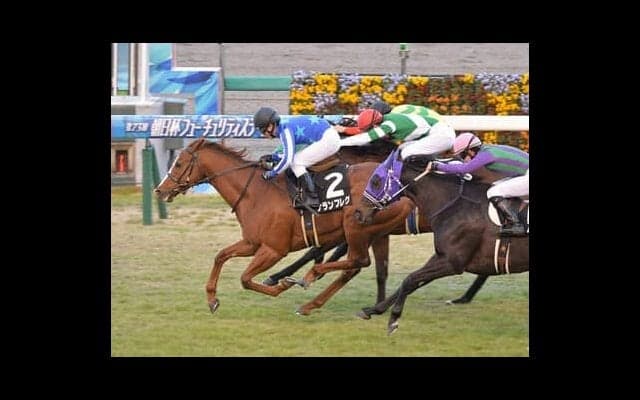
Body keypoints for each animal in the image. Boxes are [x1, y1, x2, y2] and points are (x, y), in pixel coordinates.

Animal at [154, 138, 413, 314]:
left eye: (179, 164)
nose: (159, 190)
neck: (255, 193)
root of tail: (403, 191)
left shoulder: (274, 250)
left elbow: (245, 279)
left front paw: (281, 285)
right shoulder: (251, 243)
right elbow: (221, 256)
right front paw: (211, 299)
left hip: (356, 227)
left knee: (359, 261)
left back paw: (309, 277)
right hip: (370, 232)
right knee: (355, 267)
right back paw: (311, 304)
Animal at [353, 156, 529, 334]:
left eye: (376, 181)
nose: (358, 213)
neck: (454, 205)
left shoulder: (453, 263)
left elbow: (410, 279)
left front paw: (394, 319)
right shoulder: (441, 256)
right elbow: (411, 282)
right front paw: (372, 310)